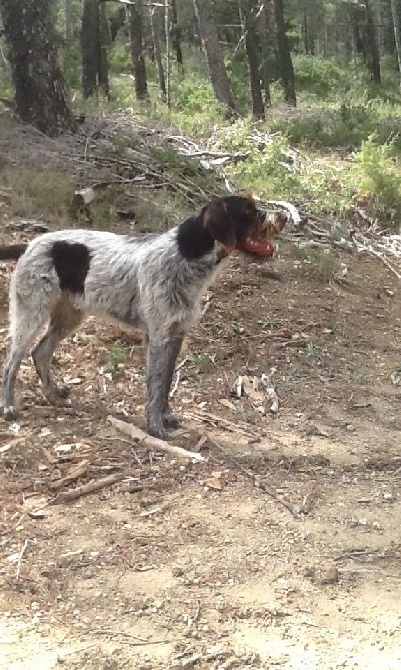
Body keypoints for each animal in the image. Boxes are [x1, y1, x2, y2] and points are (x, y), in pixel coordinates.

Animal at [0, 194, 288, 440]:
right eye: (248, 211)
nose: (285, 216)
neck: (186, 254)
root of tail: (29, 245)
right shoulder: (158, 337)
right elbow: (155, 386)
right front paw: (155, 427)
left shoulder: (175, 335)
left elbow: (166, 382)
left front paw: (166, 416)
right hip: (30, 314)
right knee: (11, 362)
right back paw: (8, 406)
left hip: (69, 316)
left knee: (40, 352)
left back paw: (54, 392)